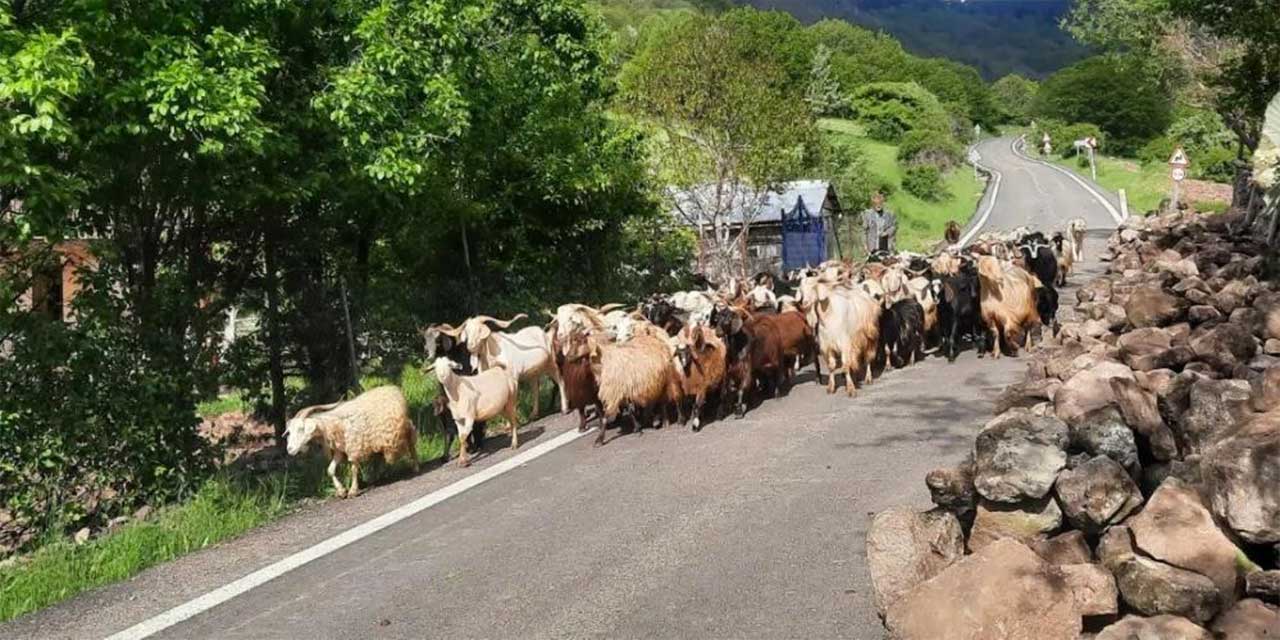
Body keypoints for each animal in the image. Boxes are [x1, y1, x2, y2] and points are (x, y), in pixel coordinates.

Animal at [286, 384, 419, 499]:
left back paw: (415, 467)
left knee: (411, 445)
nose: (289, 449)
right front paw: (341, 491)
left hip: (406, 427)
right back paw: (377, 476)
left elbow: (353, 469)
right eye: (289, 431)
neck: (331, 426)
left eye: (301, 429)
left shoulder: (354, 447)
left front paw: (353, 491)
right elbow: (330, 470)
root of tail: (392, 388)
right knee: (379, 457)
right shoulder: (340, 451)